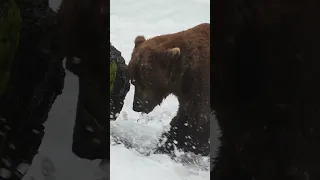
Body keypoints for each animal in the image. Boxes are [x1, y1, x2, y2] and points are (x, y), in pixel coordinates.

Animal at [127, 23, 212, 156]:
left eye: (146, 83)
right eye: (133, 81)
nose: (137, 106)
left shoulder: (201, 85)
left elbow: (200, 120)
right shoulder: (187, 94)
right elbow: (183, 118)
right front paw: (167, 144)